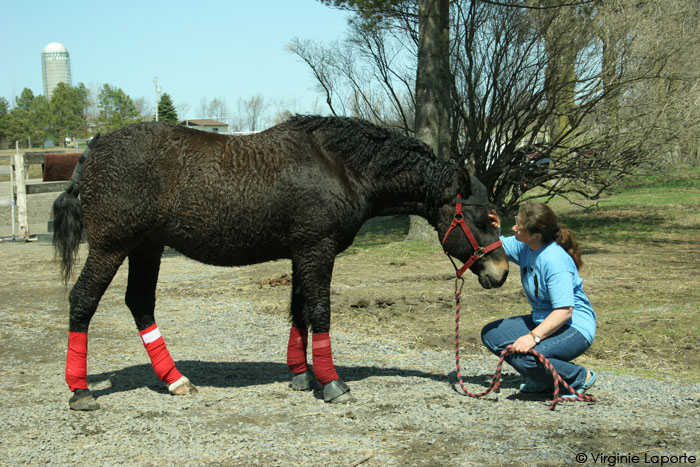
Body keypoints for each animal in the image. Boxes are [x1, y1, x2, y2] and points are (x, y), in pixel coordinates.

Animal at [52, 116, 506, 410]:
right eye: (483, 220)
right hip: (112, 246)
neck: (340, 167)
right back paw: (80, 391)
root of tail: (94, 149)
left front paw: (302, 375)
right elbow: (319, 312)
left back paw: (175, 379)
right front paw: (332, 382)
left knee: (140, 304)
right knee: (83, 302)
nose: (500, 271)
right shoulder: (317, 249)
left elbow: (299, 311)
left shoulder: (302, 251)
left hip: (146, 248)